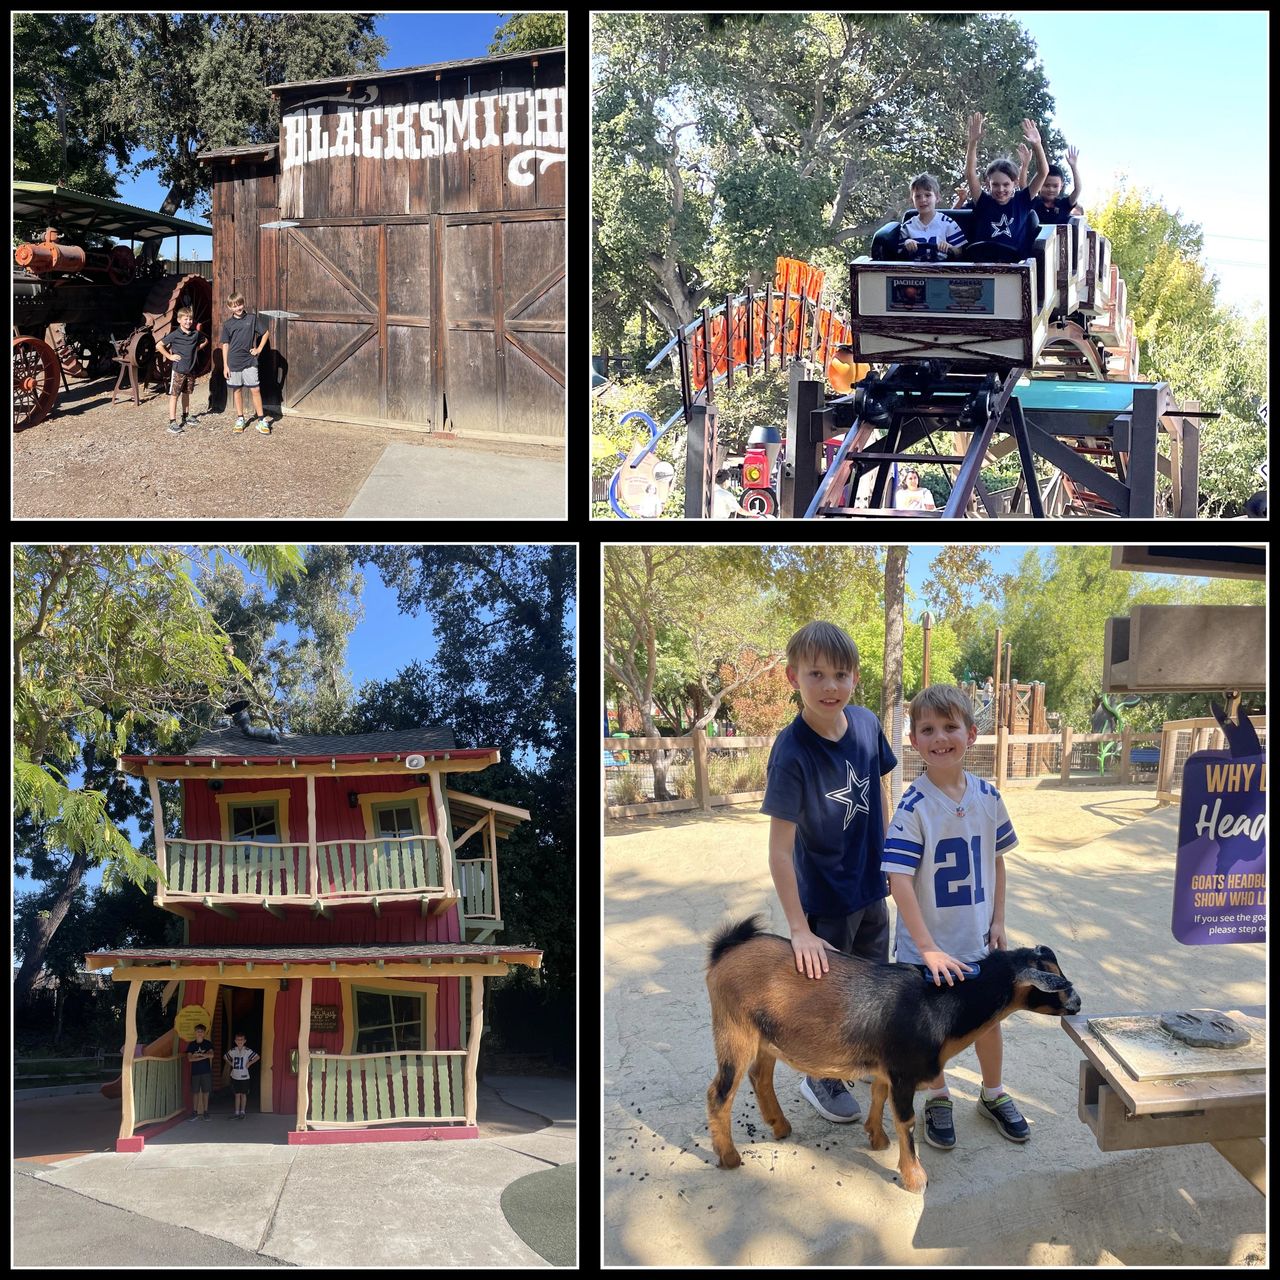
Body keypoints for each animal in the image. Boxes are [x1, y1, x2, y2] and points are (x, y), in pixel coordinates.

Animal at [706, 916, 1085, 1192]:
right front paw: (915, 1178)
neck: (941, 1006)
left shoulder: (887, 1065)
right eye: (1055, 980)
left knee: (760, 1075)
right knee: (719, 1093)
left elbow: (878, 1094)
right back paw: (729, 1157)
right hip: (734, 1030)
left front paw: (877, 1139)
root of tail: (726, 949)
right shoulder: (904, 1070)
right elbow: (907, 1120)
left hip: (766, 1037)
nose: (1079, 1003)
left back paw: (780, 1126)